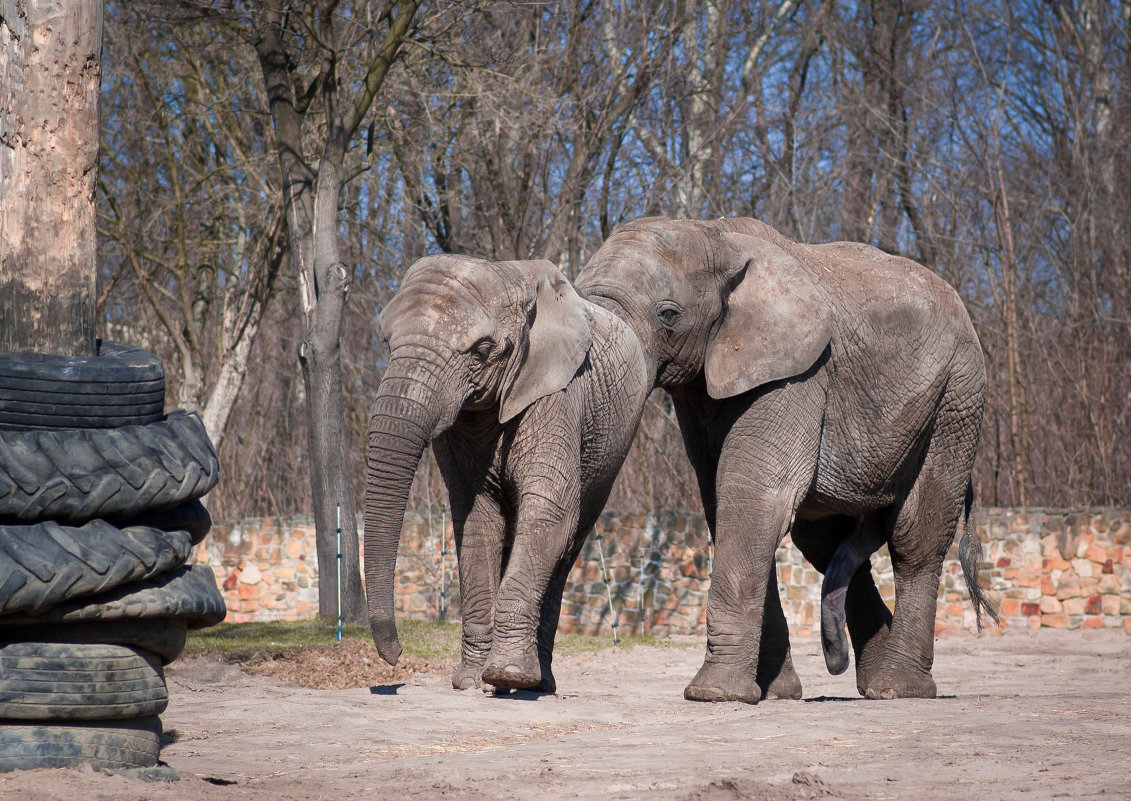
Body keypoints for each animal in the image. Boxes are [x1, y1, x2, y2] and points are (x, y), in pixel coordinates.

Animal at [361, 253, 646, 692]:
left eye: (482, 350)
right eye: (388, 344)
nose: (397, 658)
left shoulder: (558, 394)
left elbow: (549, 511)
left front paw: (506, 674)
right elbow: (477, 519)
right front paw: (472, 682)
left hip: (609, 453)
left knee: (566, 546)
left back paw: (538, 683)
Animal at [579, 216, 995, 705]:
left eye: (668, 314)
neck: (716, 236)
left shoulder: (799, 371)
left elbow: (754, 498)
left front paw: (714, 695)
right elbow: (724, 505)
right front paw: (774, 692)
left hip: (957, 398)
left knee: (915, 537)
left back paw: (897, 688)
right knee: (826, 543)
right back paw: (869, 677)